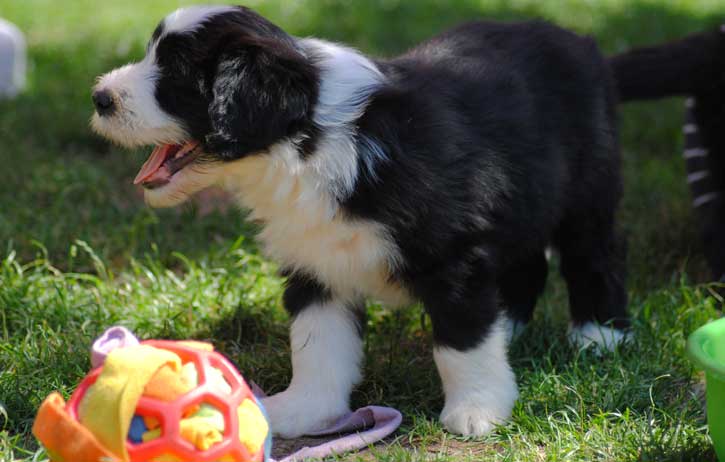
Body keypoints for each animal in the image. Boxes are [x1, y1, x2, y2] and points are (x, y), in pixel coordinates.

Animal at [92, 4, 628, 436]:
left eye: (176, 72)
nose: (99, 97)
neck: (311, 141)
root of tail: (580, 42)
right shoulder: (316, 262)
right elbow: (317, 347)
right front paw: (304, 411)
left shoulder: (453, 254)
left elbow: (462, 342)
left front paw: (478, 410)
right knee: (527, 261)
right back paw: (512, 326)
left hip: (589, 184)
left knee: (593, 255)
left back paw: (599, 335)